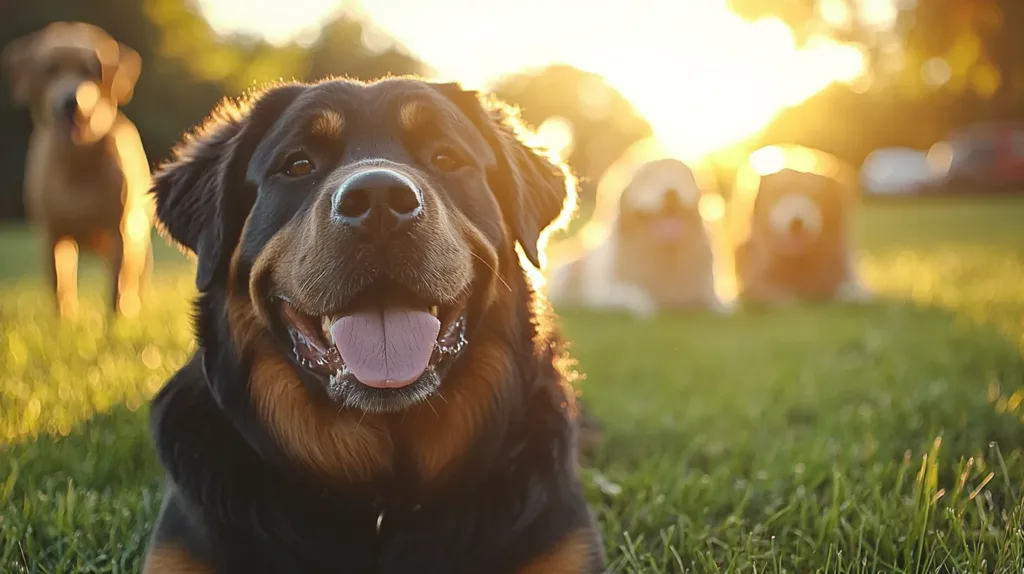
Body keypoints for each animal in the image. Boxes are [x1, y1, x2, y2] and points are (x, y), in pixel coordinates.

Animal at [2, 22, 152, 315]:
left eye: (90, 70)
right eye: (49, 69)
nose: (72, 102)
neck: (78, 162)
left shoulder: (119, 232)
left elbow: (116, 288)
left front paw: (115, 320)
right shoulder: (53, 235)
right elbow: (60, 288)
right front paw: (65, 320)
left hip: (138, 235)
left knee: (134, 275)